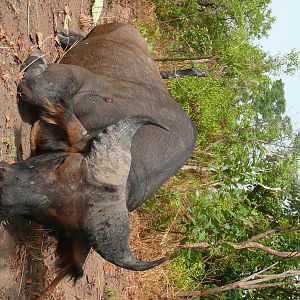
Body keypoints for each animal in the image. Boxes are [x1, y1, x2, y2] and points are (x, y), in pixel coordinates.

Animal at [0, 23, 197, 282]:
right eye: (61, 161)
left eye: (52, 218)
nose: (3, 189)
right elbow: (34, 88)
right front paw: (37, 58)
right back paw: (66, 36)